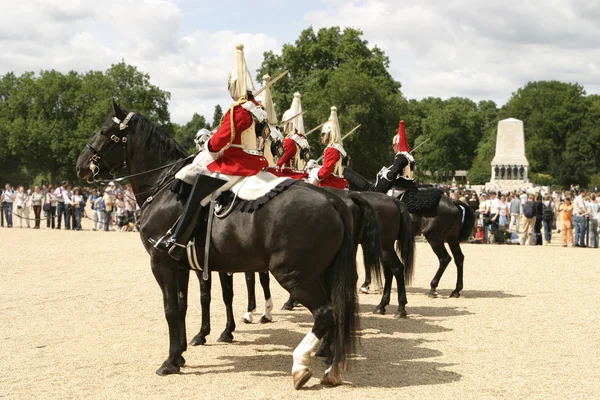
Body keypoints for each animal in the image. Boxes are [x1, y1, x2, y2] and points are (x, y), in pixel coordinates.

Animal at [77, 103, 360, 388]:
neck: (164, 187)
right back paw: (330, 364)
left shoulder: (162, 262)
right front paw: (182, 352)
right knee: (336, 310)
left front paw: (171, 360)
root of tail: (331, 200)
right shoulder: (182, 265)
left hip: (292, 275)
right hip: (319, 273)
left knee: (325, 312)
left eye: (105, 131)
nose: (80, 166)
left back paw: (302, 365)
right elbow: (183, 306)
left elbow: (171, 308)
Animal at [344, 153, 476, 296]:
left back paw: (433, 287)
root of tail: (453, 201)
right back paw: (456, 290)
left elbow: (368, 261)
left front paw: (365, 285)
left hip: (435, 238)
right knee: (459, 258)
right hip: (451, 238)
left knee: (444, 259)